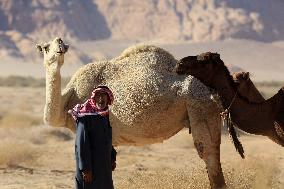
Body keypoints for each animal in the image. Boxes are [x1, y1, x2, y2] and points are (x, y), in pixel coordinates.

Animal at [36, 37, 226, 188]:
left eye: (62, 44)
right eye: (45, 47)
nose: (60, 45)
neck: (67, 102)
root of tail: (213, 89)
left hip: (200, 106)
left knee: (208, 152)